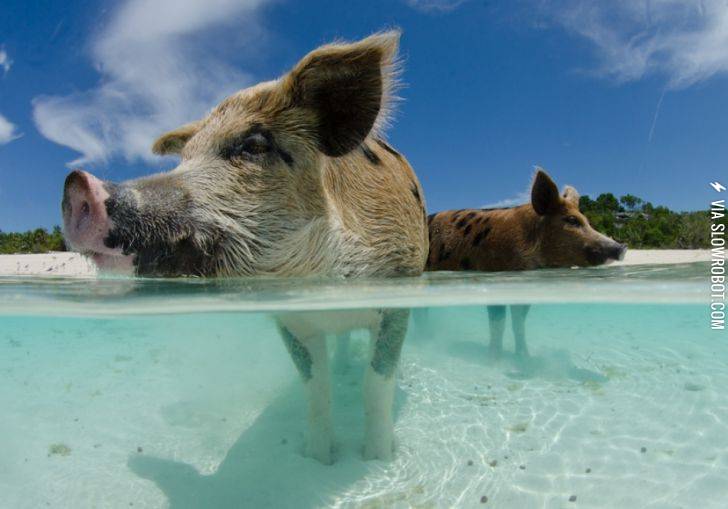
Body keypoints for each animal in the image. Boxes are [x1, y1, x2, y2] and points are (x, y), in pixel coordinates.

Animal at [61, 32, 428, 464]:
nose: (77, 183)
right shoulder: (288, 321)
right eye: (184, 159)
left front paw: (379, 458)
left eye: (253, 145)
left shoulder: (399, 289)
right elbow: (316, 388)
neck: (320, 278)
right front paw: (319, 458)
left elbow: (376, 382)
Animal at [425, 169, 626, 357]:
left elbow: (518, 323)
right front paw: (494, 358)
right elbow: (498, 323)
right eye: (572, 220)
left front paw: (524, 357)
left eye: (587, 221)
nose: (622, 247)